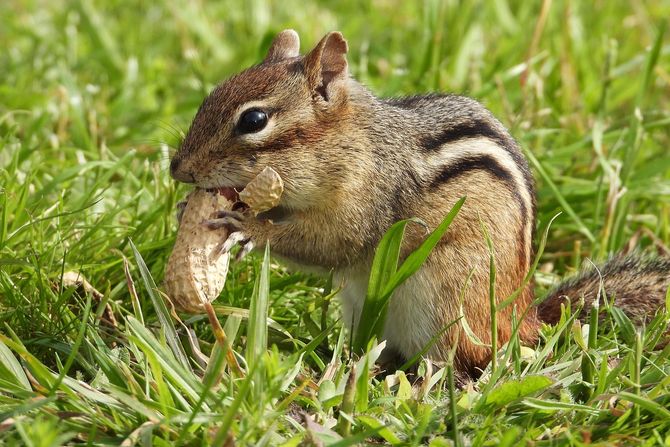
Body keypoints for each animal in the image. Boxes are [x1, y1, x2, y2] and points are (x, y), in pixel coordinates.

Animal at [169, 30, 670, 377]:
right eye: (212, 94)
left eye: (254, 120)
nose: (178, 169)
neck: (352, 143)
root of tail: (524, 322)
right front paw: (192, 212)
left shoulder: (368, 204)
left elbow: (329, 245)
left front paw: (249, 228)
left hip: (446, 296)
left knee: (457, 362)